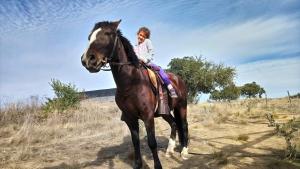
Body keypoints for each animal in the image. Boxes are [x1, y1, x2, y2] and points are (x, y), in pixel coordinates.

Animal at [81, 20, 189, 169]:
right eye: (89, 37)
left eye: (108, 33)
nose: (87, 60)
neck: (132, 82)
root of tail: (179, 79)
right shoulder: (130, 118)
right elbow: (135, 142)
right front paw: (138, 165)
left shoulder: (148, 116)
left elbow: (152, 142)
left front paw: (158, 166)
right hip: (165, 112)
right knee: (174, 124)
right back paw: (169, 150)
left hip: (182, 107)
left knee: (183, 125)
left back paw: (184, 152)